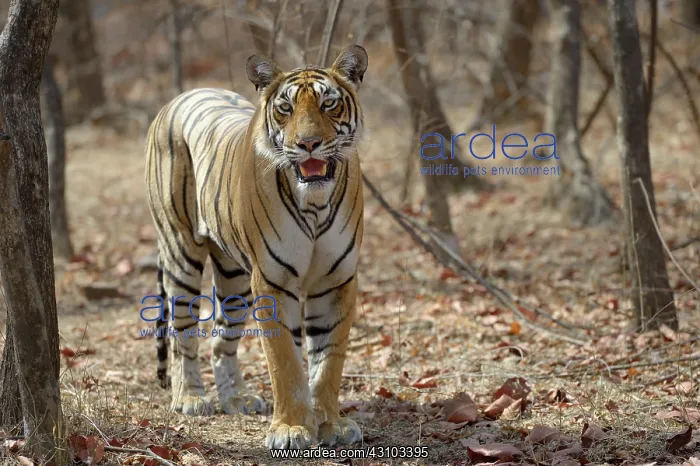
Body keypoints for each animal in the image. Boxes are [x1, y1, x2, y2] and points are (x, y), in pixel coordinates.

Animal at [144, 45, 368, 450]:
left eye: (328, 104)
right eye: (286, 108)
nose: (308, 144)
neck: (315, 203)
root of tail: (182, 96)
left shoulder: (336, 281)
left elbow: (329, 360)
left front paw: (332, 425)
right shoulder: (273, 282)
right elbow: (286, 362)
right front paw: (292, 429)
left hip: (233, 275)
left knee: (221, 338)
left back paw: (237, 398)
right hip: (181, 252)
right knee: (182, 332)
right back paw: (190, 398)